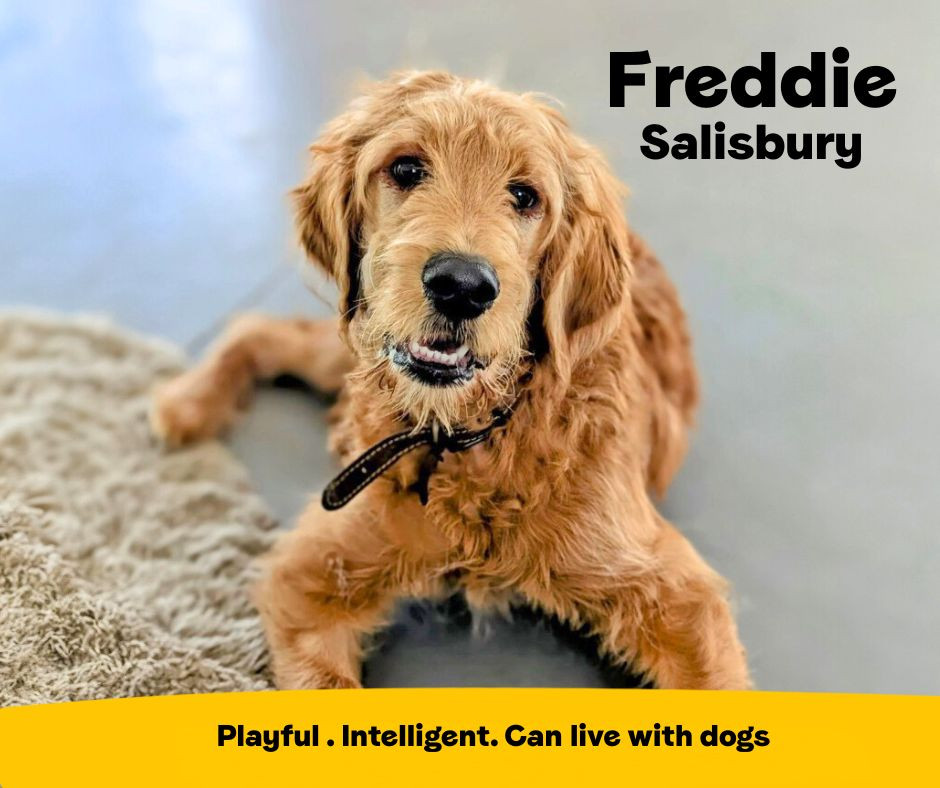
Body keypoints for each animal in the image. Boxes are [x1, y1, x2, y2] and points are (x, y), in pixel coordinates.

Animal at [151, 71, 750, 690]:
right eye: (406, 169)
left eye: (524, 195)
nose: (461, 287)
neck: (474, 436)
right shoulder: (311, 571)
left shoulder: (675, 594)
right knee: (260, 326)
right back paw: (187, 403)